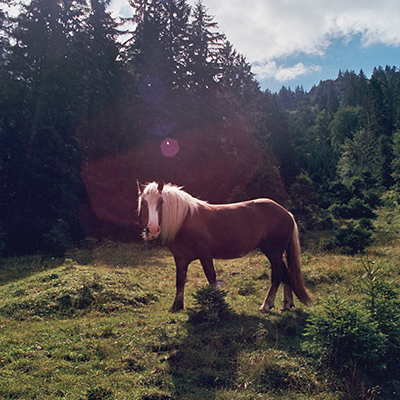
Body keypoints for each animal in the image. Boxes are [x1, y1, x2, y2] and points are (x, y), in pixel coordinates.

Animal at [138, 178, 312, 312]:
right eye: (143, 203)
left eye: (161, 201)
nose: (152, 230)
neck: (185, 220)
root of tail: (286, 213)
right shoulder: (180, 258)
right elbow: (180, 281)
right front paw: (176, 306)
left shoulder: (205, 254)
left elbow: (211, 277)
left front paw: (217, 304)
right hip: (273, 251)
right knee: (285, 273)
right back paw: (287, 304)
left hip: (274, 252)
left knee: (277, 275)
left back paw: (267, 304)